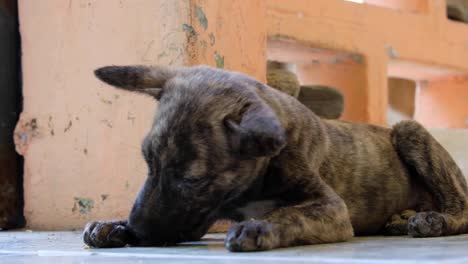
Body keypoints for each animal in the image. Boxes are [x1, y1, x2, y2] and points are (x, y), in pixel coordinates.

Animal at [83, 65, 468, 251]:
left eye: (192, 180)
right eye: (148, 162)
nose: (138, 229)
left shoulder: (333, 210)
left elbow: (292, 215)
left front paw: (261, 227)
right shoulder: (200, 215)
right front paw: (114, 226)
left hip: (409, 131)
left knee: (462, 209)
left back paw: (431, 220)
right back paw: (403, 218)